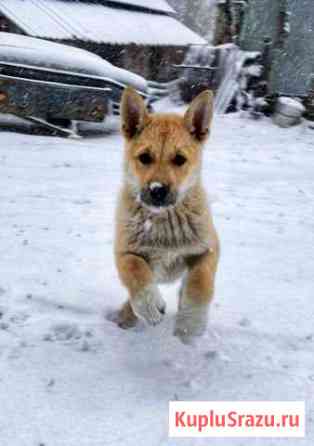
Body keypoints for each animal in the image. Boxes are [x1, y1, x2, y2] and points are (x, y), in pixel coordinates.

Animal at [114, 87, 220, 344]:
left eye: (180, 159)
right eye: (144, 157)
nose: (157, 190)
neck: (164, 220)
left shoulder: (208, 249)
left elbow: (200, 282)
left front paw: (190, 324)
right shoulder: (124, 251)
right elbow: (135, 270)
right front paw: (149, 306)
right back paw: (128, 315)